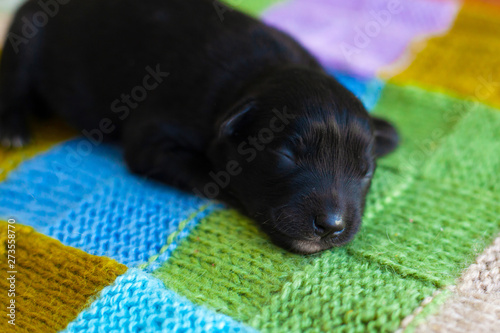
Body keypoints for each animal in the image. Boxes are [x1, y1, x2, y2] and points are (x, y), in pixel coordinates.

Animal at [0, 0, 398, 252]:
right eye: (286, 156)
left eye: (365, 171)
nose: (331, 226)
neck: (258, 76)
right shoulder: (155, 137)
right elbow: (208, 172)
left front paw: (386, 129)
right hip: (27, 31)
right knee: (14, 76)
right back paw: (13, 127)